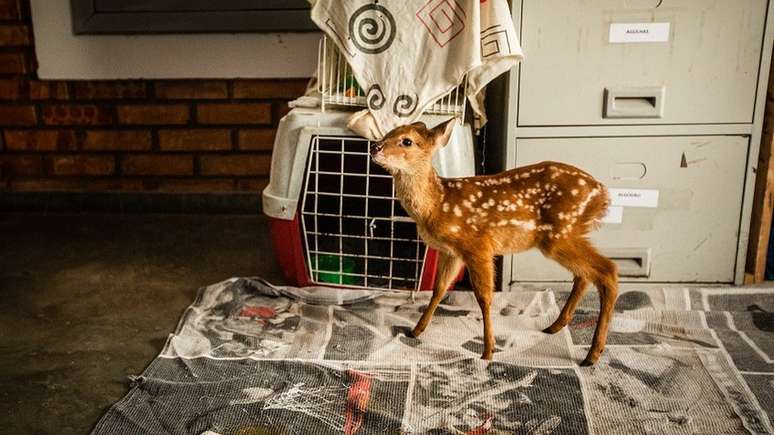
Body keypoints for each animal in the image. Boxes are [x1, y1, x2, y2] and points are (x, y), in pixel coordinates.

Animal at [369, 118, 618, 366]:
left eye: (407, 141)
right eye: (388, 132)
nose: (375, 147)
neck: (438, 204)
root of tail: (602, 193)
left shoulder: (477, 246)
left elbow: (484, 297)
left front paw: (487, 352)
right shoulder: (452, 252)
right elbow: (439, 289)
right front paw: (415, 330)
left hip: (560, 235)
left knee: (608, 270)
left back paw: (592, 354)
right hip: (570, 235)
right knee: (585, 275)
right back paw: (555, 327)